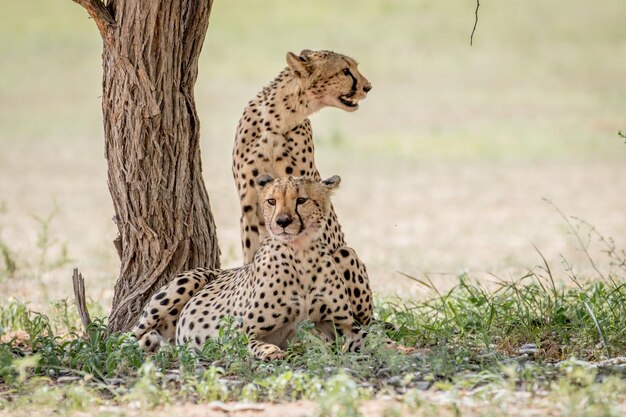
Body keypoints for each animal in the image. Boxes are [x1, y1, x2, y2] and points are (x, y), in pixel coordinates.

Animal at [132, 174, 366, 360]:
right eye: (272, 201)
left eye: (301, 200)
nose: (282, 222)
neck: (301, 254)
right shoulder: (240, 331)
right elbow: (256, 343)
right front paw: (272, 351)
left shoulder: (345, 324)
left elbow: (363, 338)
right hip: (184, 283)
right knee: (130, 337)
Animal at [232, 49, 372, 324]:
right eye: (345, 70)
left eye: (354, 67)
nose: (368, 87)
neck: (279, 119)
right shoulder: (249, 207)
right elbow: (251, 256)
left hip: (345, 254)